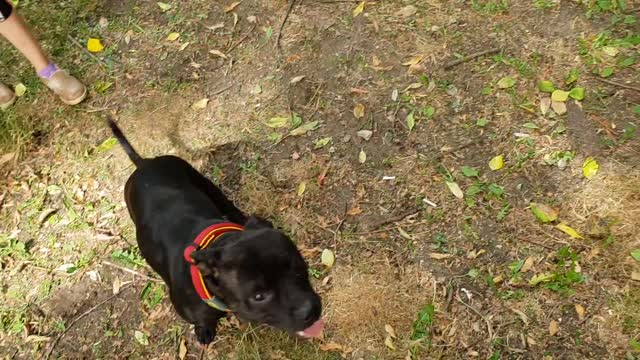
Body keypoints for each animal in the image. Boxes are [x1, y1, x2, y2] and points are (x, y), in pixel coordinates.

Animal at [108, 118, 324, 344]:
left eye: (296, 264)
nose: (309, 310)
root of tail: (144, 164)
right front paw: (204, 330)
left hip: (208, 185)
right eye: (258, 296)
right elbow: (203, 321)